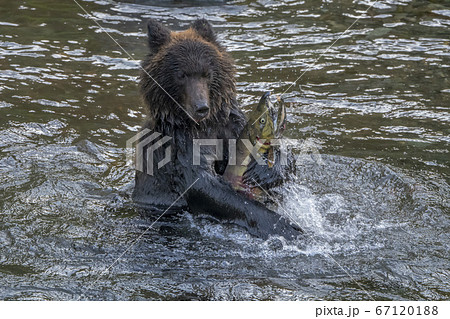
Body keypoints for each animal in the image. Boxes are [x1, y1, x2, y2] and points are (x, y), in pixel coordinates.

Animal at [131, 18, 298, 240]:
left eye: (207, 73)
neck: (203, 125)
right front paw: (286, 226)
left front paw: (263, 171)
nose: (201, 107)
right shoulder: (178, 145)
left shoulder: (229, 127)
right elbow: (203, 184)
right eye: (181, 75)